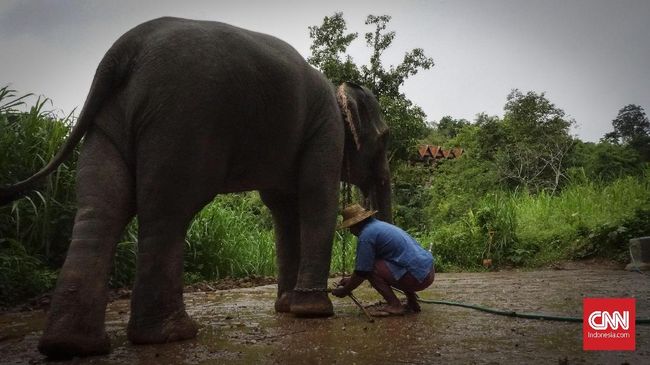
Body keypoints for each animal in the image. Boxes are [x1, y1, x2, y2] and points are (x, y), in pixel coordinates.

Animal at [0, 17, 390, 356]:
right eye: (386, 140)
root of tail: (126, 48)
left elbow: (284, 211)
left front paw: (287, 307)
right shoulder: (326, 132)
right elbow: (315, 203)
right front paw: (314, 312)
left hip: (114, 120)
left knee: (102, 204)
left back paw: (72, 346)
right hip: (184, 116)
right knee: (170, 208)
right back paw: (172, 335)